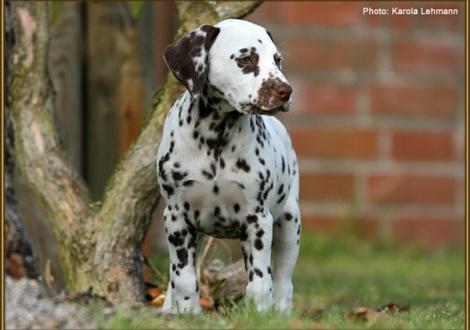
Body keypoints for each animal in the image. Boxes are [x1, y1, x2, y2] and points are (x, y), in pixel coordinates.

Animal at [156, 18, 300, 314]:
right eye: (245, 60)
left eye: (277, 60)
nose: (285, 91)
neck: (216, 138)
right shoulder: (176, 218)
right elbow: (183, 279)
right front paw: (187, 314)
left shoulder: (257, 220)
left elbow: (259, 283)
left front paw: (259, 315)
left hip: (289, 226)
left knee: (283, 282)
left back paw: (280, 313)